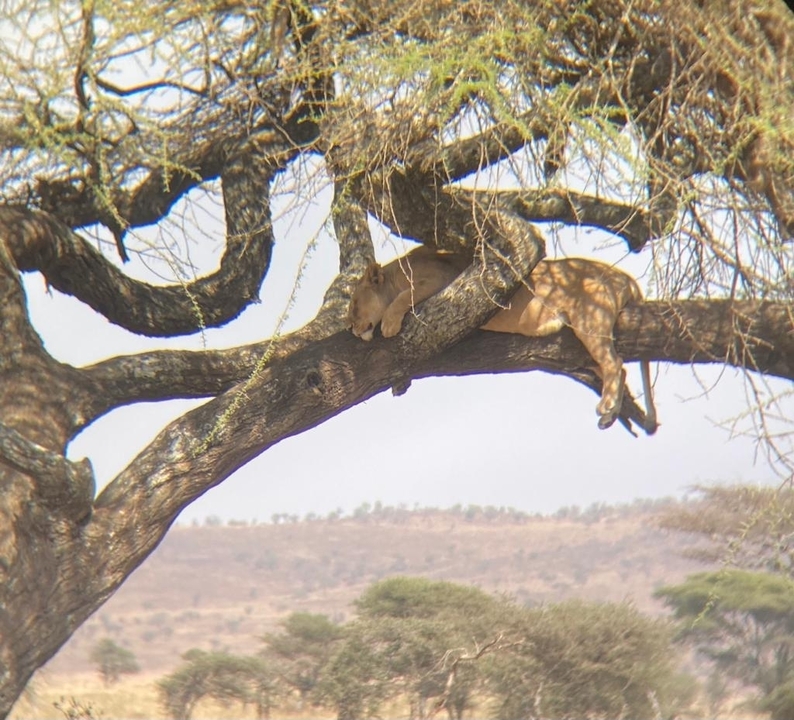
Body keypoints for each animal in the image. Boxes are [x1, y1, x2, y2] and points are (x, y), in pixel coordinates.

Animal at [347, 246, 657, 432]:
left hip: (589, 319)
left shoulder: (443, 280)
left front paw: (389, 323)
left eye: (354, 304)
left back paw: (607, 407)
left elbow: (404, 296)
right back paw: (610, 414)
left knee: (615, 363)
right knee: (617, 368)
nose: (352, 328)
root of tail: (626, 277)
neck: (397, 273)